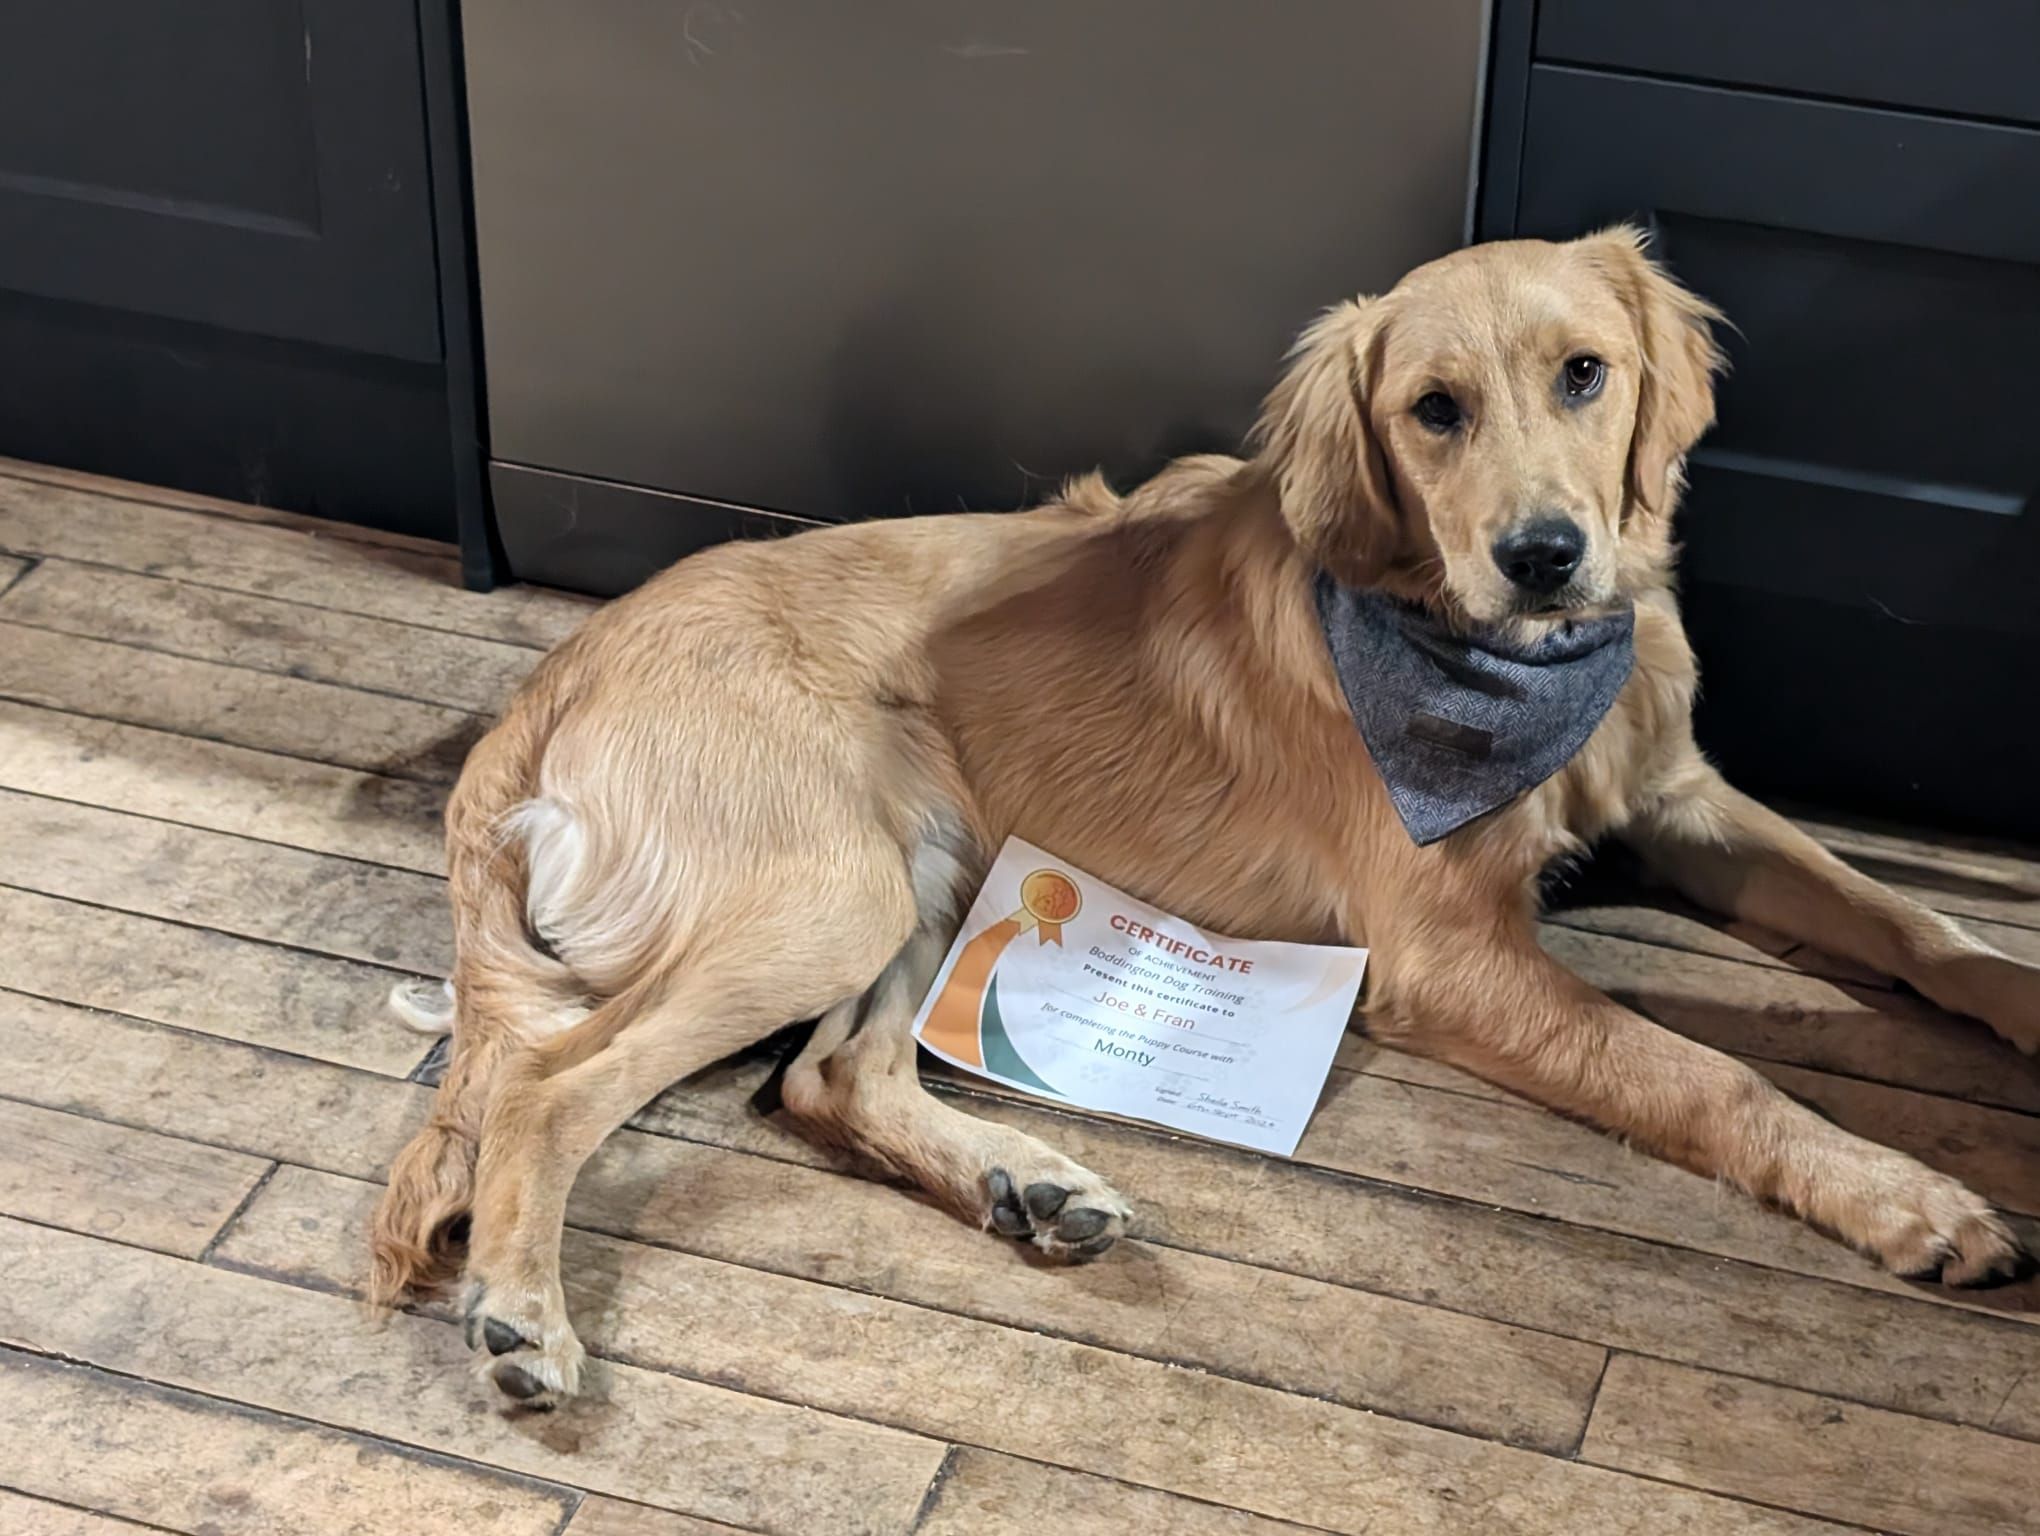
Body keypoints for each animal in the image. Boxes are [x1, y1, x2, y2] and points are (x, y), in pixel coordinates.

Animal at [371, 227, 2040, 1403]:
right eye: (1433, 411)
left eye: (1586, 372)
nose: (1546, 556)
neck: (1497, 661)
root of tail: (549, 680)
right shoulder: (1451, 959)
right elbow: (1713, 1072)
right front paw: (1904, 1194)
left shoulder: (1682, 798)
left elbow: (1913, 921)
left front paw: (2014, 992)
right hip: (829, 888)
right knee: (550, 1089)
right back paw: (520, 1315)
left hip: (933, 866)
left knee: (829, 1080)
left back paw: (1026, 1183)